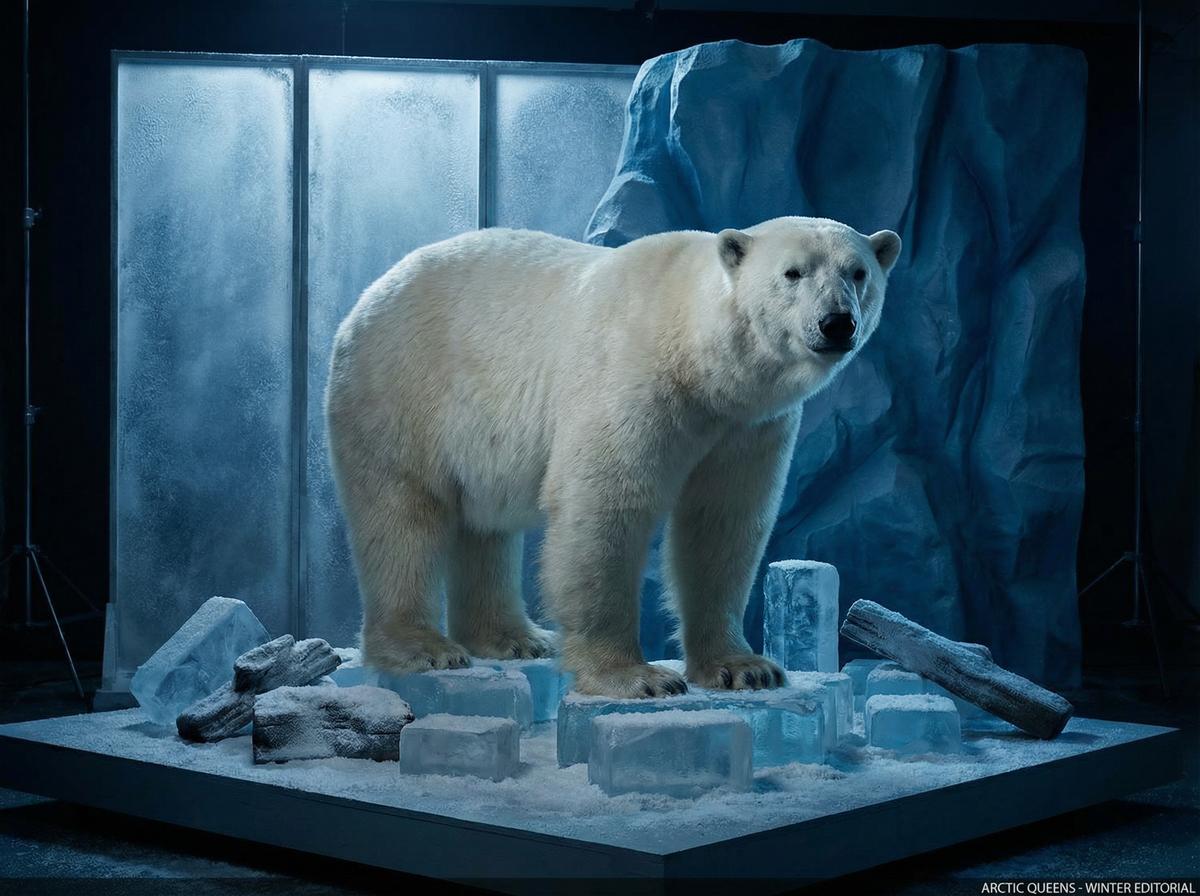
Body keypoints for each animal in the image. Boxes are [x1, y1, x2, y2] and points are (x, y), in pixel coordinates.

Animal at [325, 216, 901, 698]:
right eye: (792, 272)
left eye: (858, 273)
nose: (837, 323)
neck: (695, 352)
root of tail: (369, 295)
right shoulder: (631, 376)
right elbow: (606, 505)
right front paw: (635, 677)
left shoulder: (748, 426)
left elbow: (722, 523)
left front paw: (743, 667)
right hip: (403, 388)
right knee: (401, 514)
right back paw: (423, 647)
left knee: (484, 524)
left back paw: (515, 638)